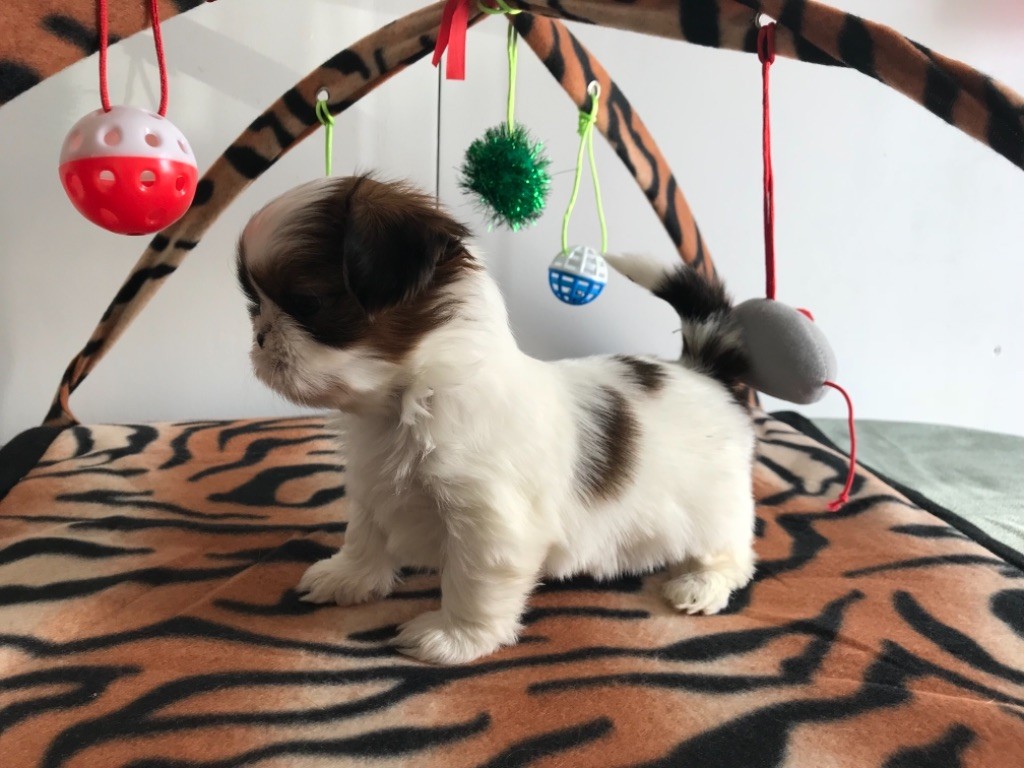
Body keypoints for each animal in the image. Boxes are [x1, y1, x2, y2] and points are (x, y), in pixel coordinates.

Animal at [237, 175, 756, 664]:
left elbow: (474, 579)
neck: (410, 402)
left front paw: (454, 637)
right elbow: (366, 534)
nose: (260, 336)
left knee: (732, 552)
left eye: (308, 304)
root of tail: (700, 370)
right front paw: (348, 576)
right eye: (253, 305)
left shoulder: (488, 519)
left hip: (715, 504)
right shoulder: (373, 484)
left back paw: (702, 583)